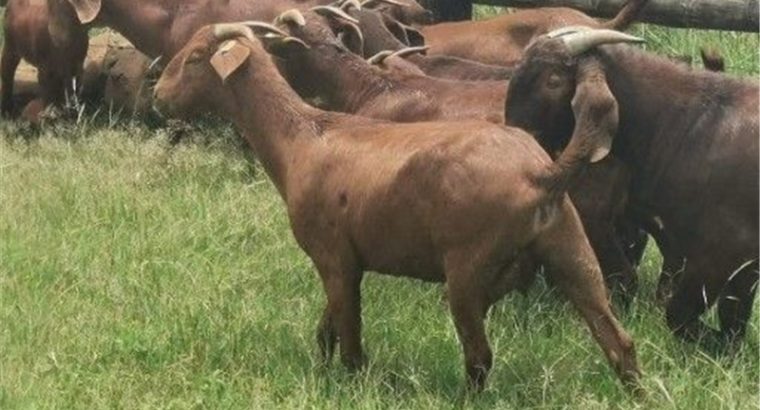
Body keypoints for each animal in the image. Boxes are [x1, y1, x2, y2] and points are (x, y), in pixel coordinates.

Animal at [152, 22, 641, 391]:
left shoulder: (333, 256)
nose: (158, 95)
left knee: (479, 356)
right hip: (573, 252)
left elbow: (350, 338)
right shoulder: (345, 262)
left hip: (468, 268)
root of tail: (542, 174)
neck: (302, 137)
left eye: (195, 57)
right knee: (619, 342)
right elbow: (328, 327)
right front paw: (321, 372)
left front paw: (350, 384)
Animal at [504, 27, 759, 345]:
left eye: (553, 80)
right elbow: (731, 322)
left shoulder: (721, 253)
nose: (514, 137)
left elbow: (678, 313)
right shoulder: (736, 266)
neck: (693, 127)